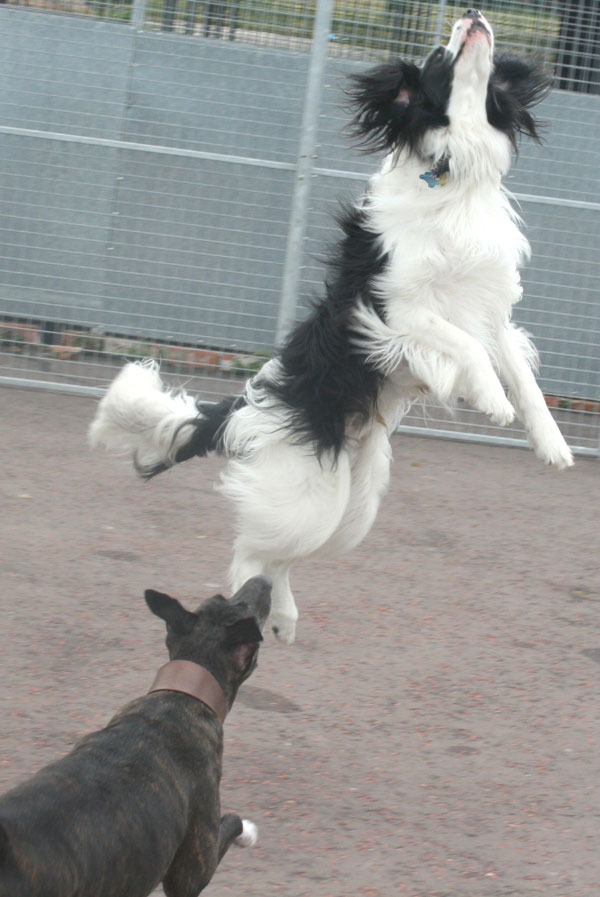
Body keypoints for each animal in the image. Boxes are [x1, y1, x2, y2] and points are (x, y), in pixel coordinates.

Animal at [0, 575, 272, 897]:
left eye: (222, 597)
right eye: (245, 611)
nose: (264, 580)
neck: (179, 698)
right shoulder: (190, 873)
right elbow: (232, 821)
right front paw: (248, 830)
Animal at [90, 10, 573, 646]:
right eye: (439, 59)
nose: (471, 14)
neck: (452, 176)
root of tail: (241, 411)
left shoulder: (494, 311)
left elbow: (522, 378)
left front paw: (553, 445)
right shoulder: (395, 308)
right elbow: (465, 346)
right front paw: (492, 403)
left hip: (353, 505)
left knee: (280, 558)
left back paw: (284, 618)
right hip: (309, 494)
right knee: (250, 552)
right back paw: (259, 616)